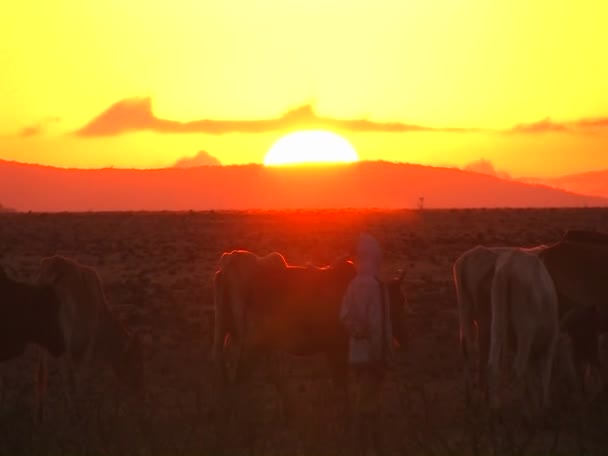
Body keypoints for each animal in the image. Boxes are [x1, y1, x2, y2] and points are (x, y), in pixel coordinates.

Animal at [36, 255, 143, 418]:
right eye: (136, 360)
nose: (138, 389)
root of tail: (54, 268)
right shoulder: (88, 341)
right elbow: (80, 375)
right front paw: (80, 409)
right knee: (66, 374)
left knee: (42, 372)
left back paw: (41, 413)